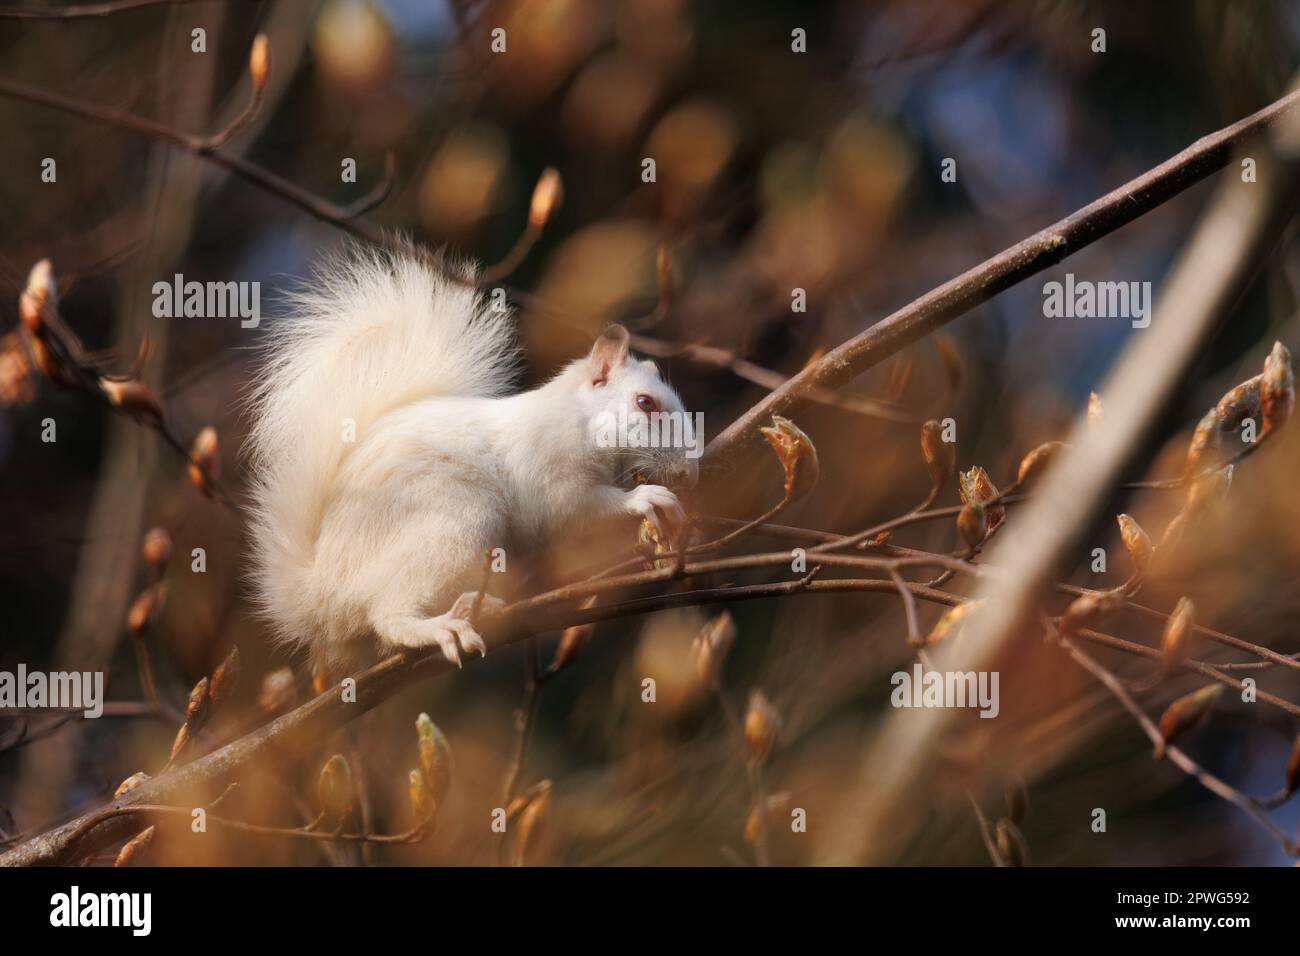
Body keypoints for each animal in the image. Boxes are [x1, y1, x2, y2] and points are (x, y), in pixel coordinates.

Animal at [244, 245, 698, 671]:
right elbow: (572, 509)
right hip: (451, 526)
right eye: (644, 403)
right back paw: (440, 626)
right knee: (388, 615)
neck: (581, 420)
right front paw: (644, 500)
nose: (689, 473)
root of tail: (321, 590)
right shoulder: (547, 470)